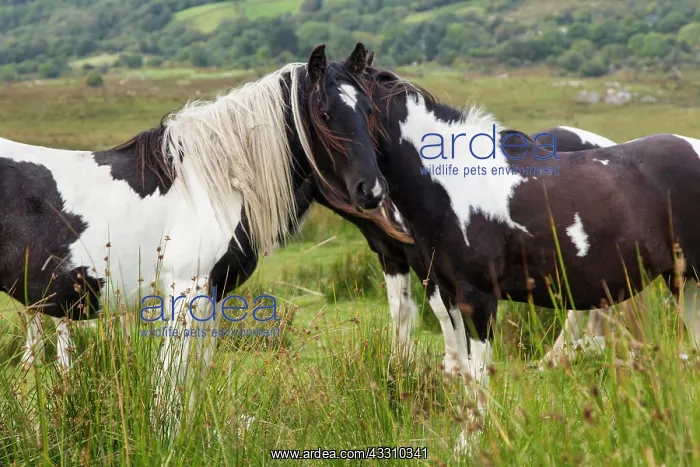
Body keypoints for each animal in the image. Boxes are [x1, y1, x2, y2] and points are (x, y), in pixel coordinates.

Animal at [3, 44, 408, 425]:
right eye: (324, 114)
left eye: (369, 112)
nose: (372, 191)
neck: (215, 184)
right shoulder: (184, 291)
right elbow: (171, 381)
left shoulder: (210, 295)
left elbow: (193, 380)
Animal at [354, 64, 700, 452]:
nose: (365, 192)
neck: (454, 184)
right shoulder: (442, 287)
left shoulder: (476, 297)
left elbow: (477, 370)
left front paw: (475, 439)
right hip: (683, 280)